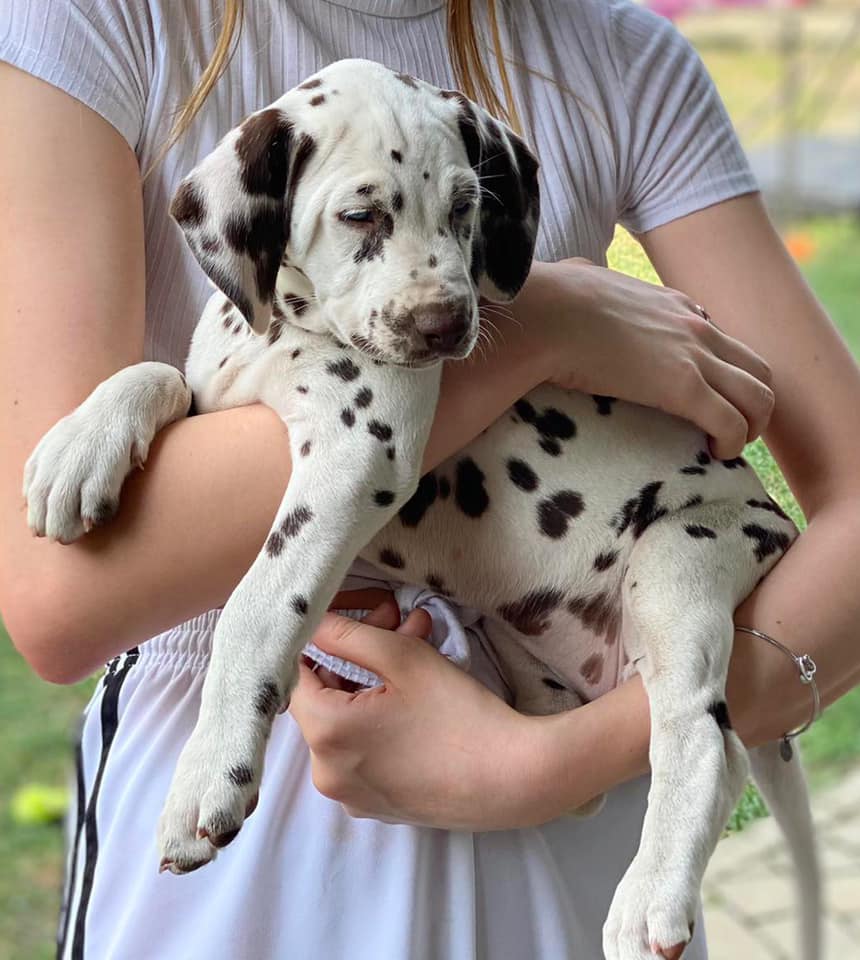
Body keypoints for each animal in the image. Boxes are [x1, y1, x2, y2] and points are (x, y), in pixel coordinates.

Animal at [23, 62, 820, 960]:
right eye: (361, 215)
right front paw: (82, 444)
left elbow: (258, 605)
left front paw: (213, 770)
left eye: (467, 207)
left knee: (703, 736)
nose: (446, 324)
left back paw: (652, 896)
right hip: (543, 668)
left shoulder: (358, 451)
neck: (278, 339)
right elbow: (158, 374)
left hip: (679, 558)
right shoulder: (215, 405)